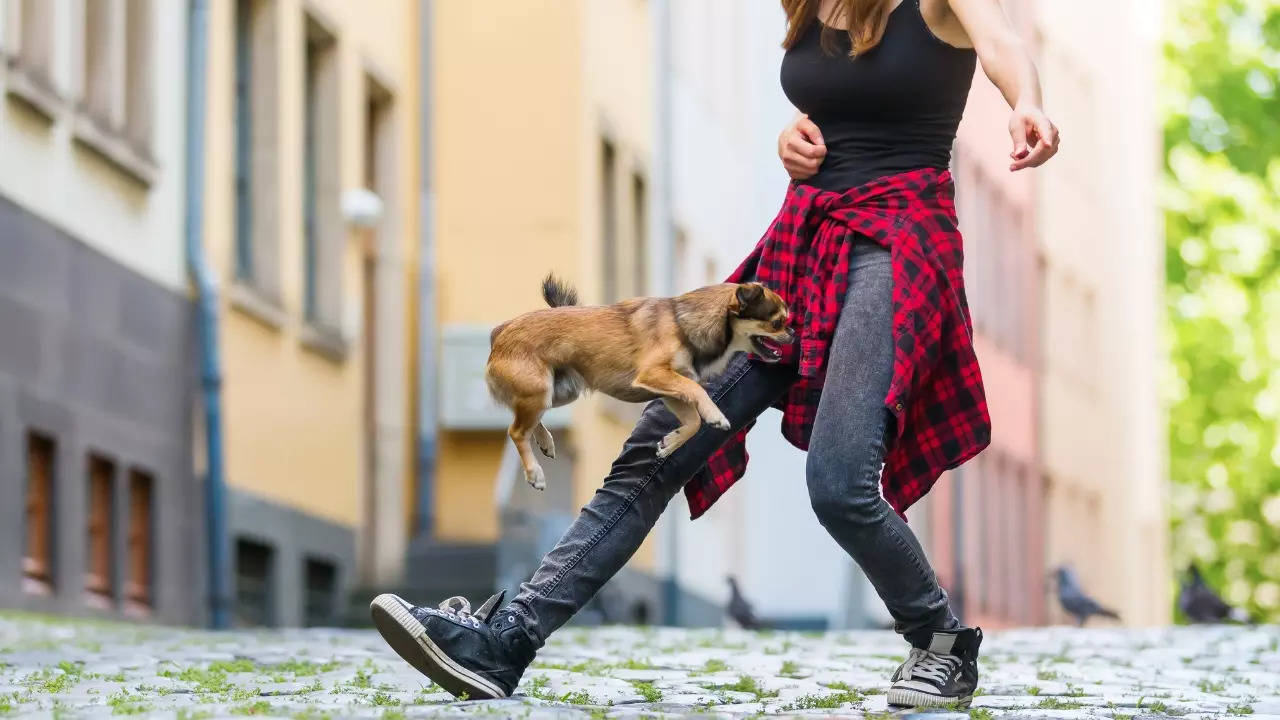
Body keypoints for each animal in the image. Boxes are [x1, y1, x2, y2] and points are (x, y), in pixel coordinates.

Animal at [486, 274, 793, 486]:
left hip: (558, 391)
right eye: (776, 322)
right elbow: (697, 391)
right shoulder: (654, 374)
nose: (793, 333)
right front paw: (715, 415)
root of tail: (500, 333)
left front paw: (671, 442)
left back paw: (546, 441)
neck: (684, 322)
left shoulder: (669, 389)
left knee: (525, 419)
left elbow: (692, 420)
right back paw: (534, 473)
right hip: (539, 390)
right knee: (516, 431)